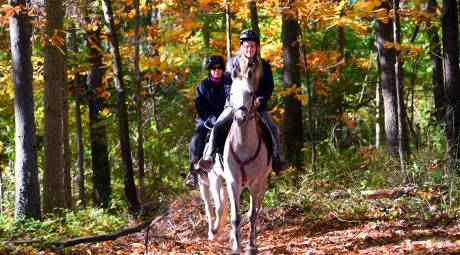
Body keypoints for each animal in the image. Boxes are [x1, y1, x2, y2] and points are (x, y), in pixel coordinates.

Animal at [199, 66, 272, 254]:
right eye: (231, 93)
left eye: (251, 93)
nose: (240, 118)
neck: (244, 145)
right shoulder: (232, 182)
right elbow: (234, 217)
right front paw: (235, 247)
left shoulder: (255, 183)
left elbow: (252, 214)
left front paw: (251, 246)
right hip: (214, 181)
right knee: (213, 207)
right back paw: (214, 231)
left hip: (261, 182)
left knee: (254, 207)